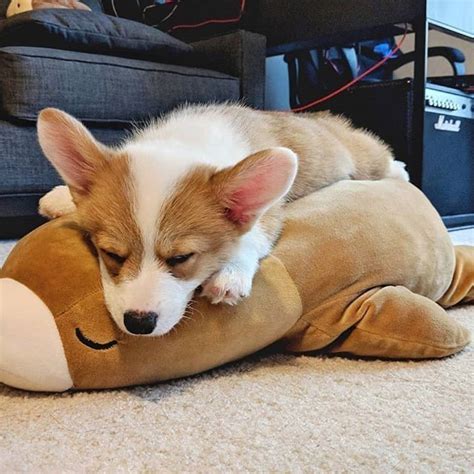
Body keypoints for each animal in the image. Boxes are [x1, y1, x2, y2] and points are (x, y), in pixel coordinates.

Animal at [38, 103, 408, 336]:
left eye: (181, 258)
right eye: (112, 254)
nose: (139, 323)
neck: (184, 142)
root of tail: (325, 118)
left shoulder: (270, 212)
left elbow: (250, 238)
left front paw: (229, 274)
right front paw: (60, 197)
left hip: (361, 157)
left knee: (380, 155)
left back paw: (400, 171)